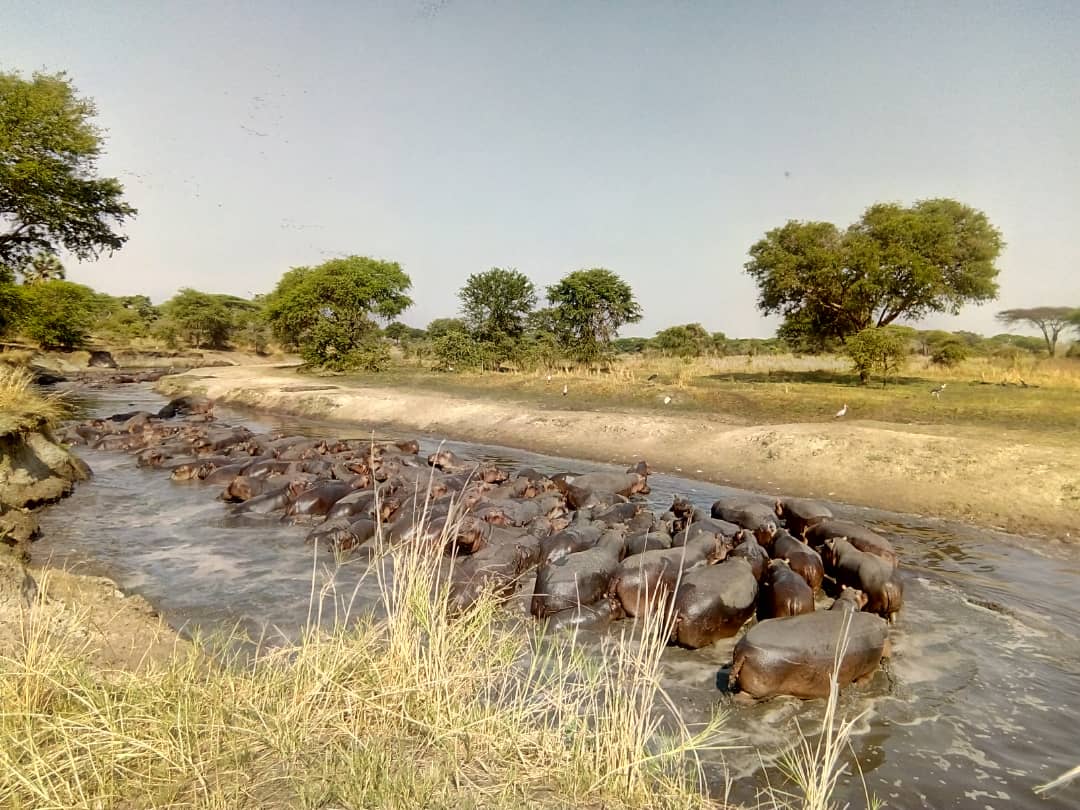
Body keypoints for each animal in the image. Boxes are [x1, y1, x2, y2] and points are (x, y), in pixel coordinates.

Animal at [729, 610, 891, 700]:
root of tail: (744, 650)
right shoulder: (869, 668)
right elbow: (866, 678)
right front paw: (860, 686)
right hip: (759, 686)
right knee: (742, 698)